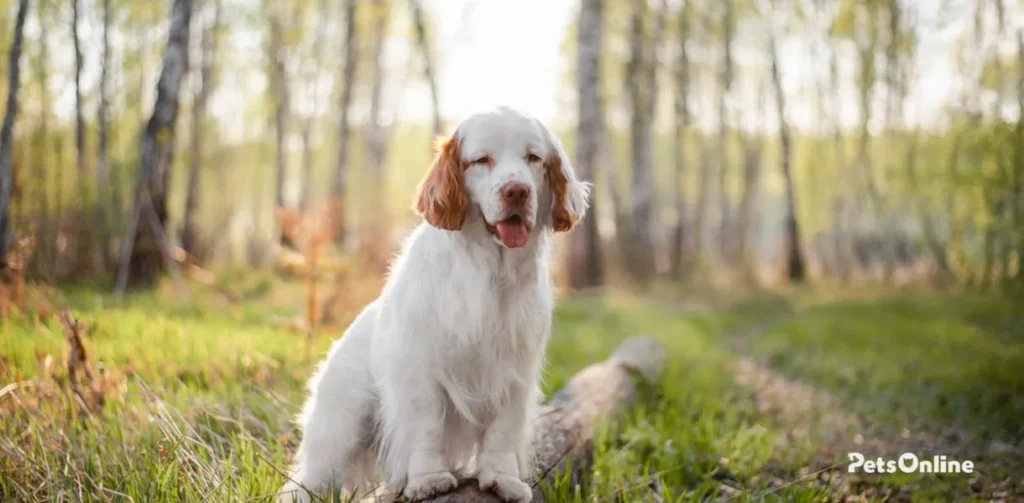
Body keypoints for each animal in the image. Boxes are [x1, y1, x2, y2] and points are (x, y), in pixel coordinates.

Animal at [278, 107, 593, 503]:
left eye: (533, 158)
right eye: (482, 160)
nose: (517, 191)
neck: (490, 273)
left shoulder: (514, 372)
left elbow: (502, 433)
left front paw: (502, 478)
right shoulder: (421, 368)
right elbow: (426, 426)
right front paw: (429, 479)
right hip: (338, 432)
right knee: (306, 482)